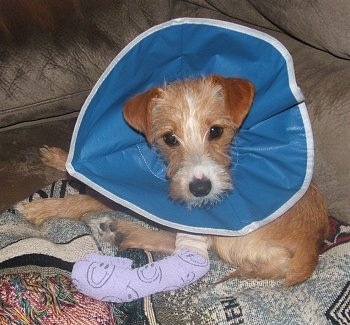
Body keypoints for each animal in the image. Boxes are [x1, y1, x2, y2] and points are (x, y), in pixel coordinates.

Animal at [17, 76, 330, 286]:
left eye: (216, 131)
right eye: (169, 138)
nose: (200, 189)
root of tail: (312, 245)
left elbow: (87, 198)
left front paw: (41, 209)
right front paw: (62, 158)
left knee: (200, 253)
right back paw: (122, 232)